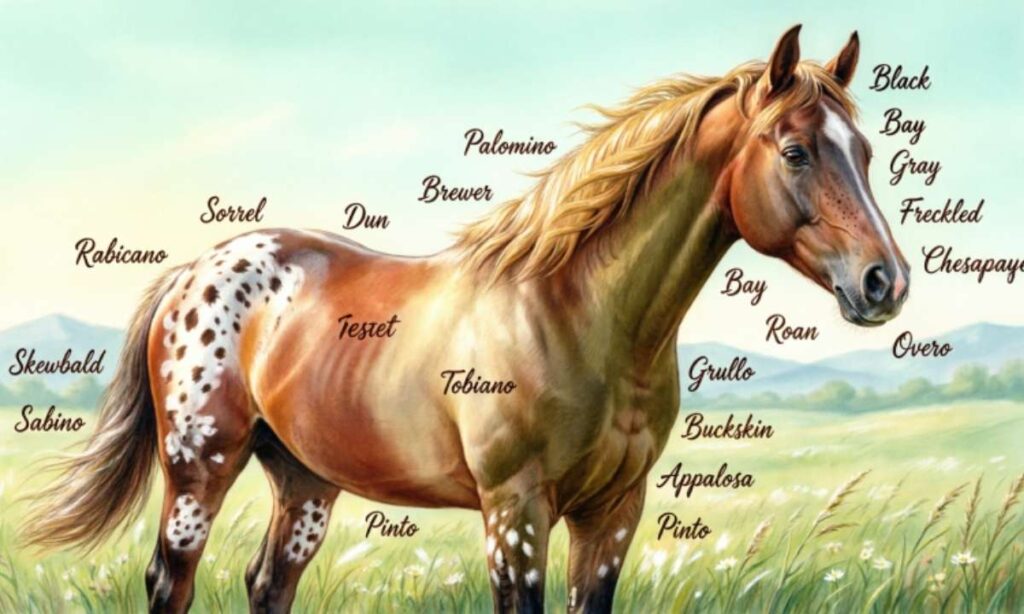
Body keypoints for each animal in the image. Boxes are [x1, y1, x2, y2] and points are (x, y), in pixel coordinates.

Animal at [23, 25, 908, 613]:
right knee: (171, 581)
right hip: (200, 469)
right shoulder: (514, 513)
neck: (580, 318)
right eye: (794, 151)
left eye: (866, 153)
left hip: (303, 480)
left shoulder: (612, 515)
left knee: (267, 584)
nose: (885, 282)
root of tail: (194, 271)